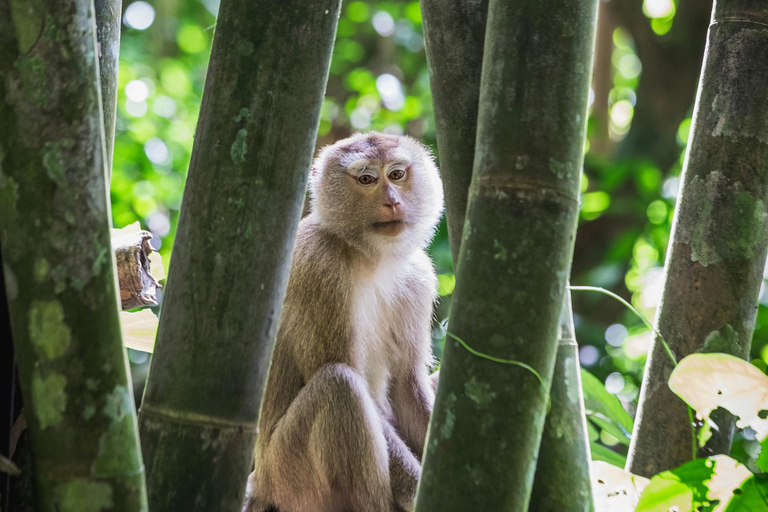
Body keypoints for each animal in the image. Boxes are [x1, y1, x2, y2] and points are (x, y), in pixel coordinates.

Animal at [240, 133, 444, 512]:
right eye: (366, 179)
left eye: (396, 174)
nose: (392, 201)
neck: (369, 256)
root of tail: (259, 481)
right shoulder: (321, 269)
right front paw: (420, 489)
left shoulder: (418, 277)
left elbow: (408, 384)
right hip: (290, 474)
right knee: (340, 386)